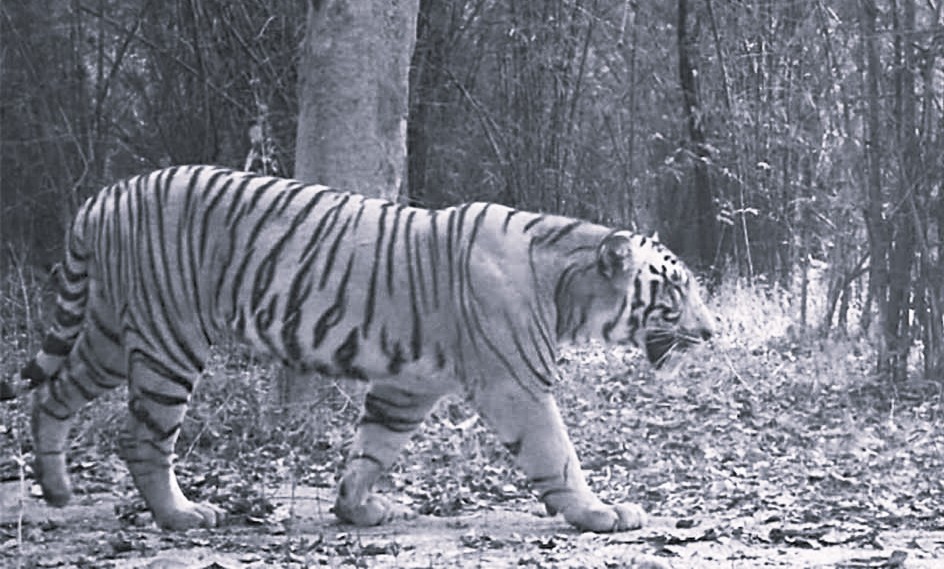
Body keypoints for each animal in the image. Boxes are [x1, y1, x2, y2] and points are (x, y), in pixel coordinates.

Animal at [5, 165, 714, 532]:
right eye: (676, 289)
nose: (711, 333)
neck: (567, 287)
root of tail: (105, 194)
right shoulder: (516, 384)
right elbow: (558, 455)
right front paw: (601, 513)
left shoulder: (409, 384)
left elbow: (373, 447)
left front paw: (356, 508)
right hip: (168, 339)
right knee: (142, 437)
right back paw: (182, 516)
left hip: (111, 330)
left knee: (54, 393)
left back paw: (58, 490)